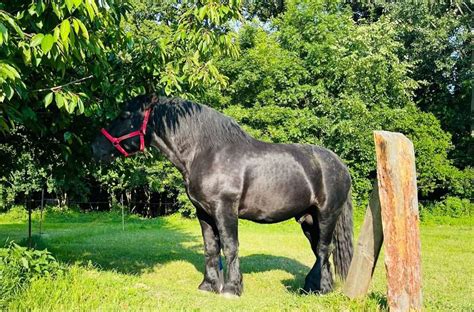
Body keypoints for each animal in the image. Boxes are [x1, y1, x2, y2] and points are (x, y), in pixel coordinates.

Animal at [91, 94, 352, 298]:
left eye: (125, 115)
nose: (96, 147)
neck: (207, 152)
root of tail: (340, 165)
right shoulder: (204, 212)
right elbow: (211, 248)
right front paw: (208, 285)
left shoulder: (224, 209)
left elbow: (230, 246)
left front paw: (231, 288)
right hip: (307, 220)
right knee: (321, 251)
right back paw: (318, 287)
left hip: (326, 215)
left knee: (323, 249)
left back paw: (318, 288)